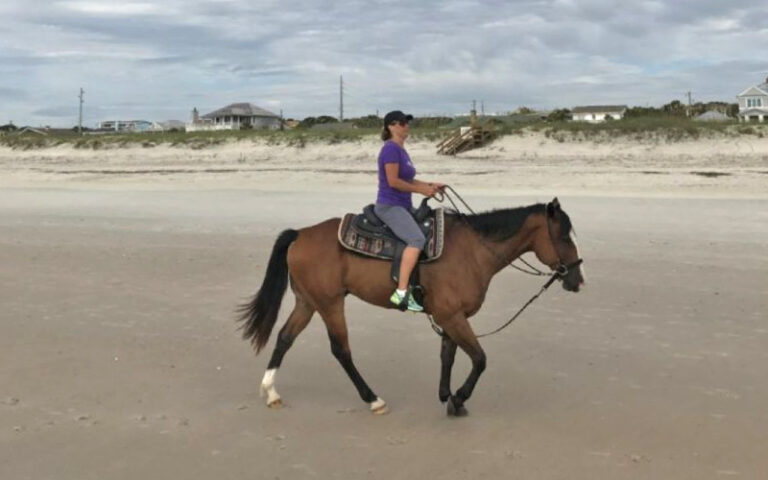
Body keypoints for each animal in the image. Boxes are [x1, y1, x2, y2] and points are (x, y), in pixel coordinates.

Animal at [237, 198, 584, 416]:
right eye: (564, 237)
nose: (577, 279)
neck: (473, 250)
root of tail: (300, 235)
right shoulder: (452, 316)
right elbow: (479, 359)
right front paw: (459, 396)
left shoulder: (451, 317)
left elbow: (449, 355)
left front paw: (447, 396)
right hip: (330, 303)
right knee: (341, 350)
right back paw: (373, 400)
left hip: (308, 302)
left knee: (284, 337)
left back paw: (271, 392)